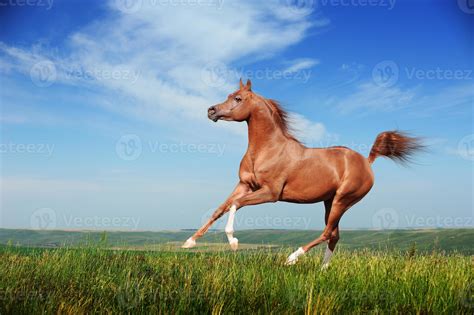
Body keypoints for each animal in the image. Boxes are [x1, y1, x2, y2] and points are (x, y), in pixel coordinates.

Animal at [182, 79, 422, 266]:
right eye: (229, 95)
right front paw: (189, 242)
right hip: (330, 201)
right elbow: (219, 209)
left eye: (238, 99)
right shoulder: (244, 185)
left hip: (343, 200)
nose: (211, 111)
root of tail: (366, 161)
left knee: (327, 232)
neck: (267, 149)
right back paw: (322, 270)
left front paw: (233, 242)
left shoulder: (270, 193)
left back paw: (292, 258)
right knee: (334, 235)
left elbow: (235, 204)